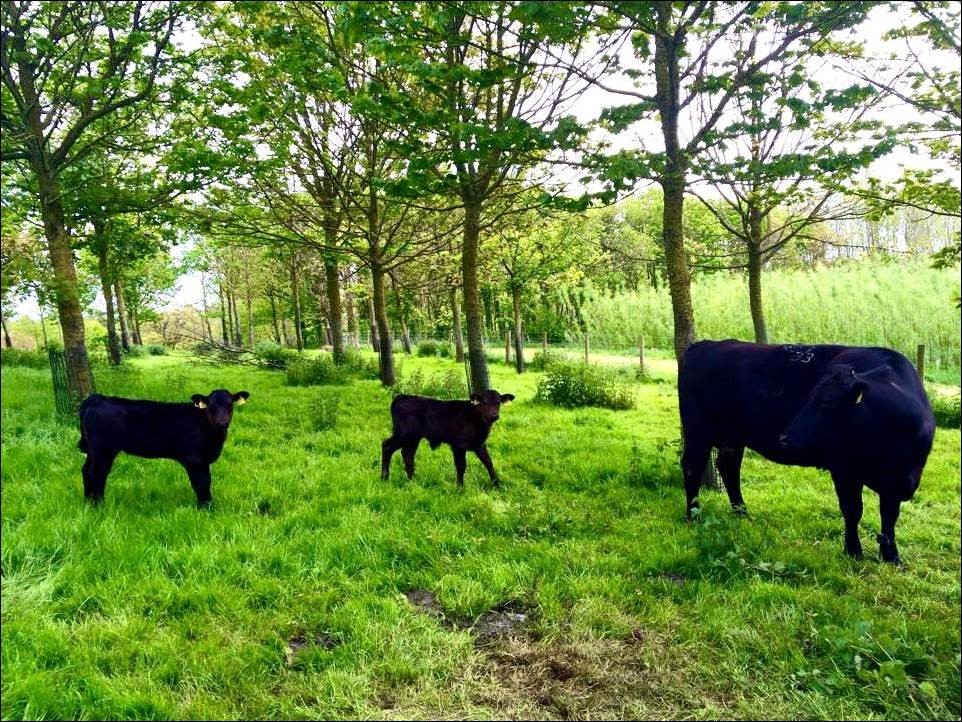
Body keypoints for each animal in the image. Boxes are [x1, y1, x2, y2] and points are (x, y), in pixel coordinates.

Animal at [77, 388, 249, 506]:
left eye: (230, 404)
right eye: (211, 406)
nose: (222, 423)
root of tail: (97, 398)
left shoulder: (203, 460)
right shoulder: (194, 459)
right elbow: (202, 482)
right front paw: (207, 507)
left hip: (94, 450)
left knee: (86, 470)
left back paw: (88, 501)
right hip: (103, 450)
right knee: (96, 473)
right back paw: (98, 504)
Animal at [382, 388, 516, 484]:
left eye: (498, 402)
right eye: (484, 402)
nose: (494, 416)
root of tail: (402, 396)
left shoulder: (480, 444)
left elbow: (488, 462)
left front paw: (497, 484)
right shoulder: (459, 446)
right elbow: (461, 466)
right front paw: (460, 487)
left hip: (413, 438)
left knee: (407, 454)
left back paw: (412, 480)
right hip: (403, 435)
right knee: (387, 446)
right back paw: (384, 477)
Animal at [676, 338, 928, 564]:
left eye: (826, 402)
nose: (785, 437)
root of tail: (707, 344)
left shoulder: (897, 482)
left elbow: (889, 517)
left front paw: (892, 556)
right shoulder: (844, 471)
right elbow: (853, 510)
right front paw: (853, 551)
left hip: (734, 438)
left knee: (728, 468)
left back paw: (742, 514)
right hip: (698, 432)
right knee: (691, 467)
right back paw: (694, 516)